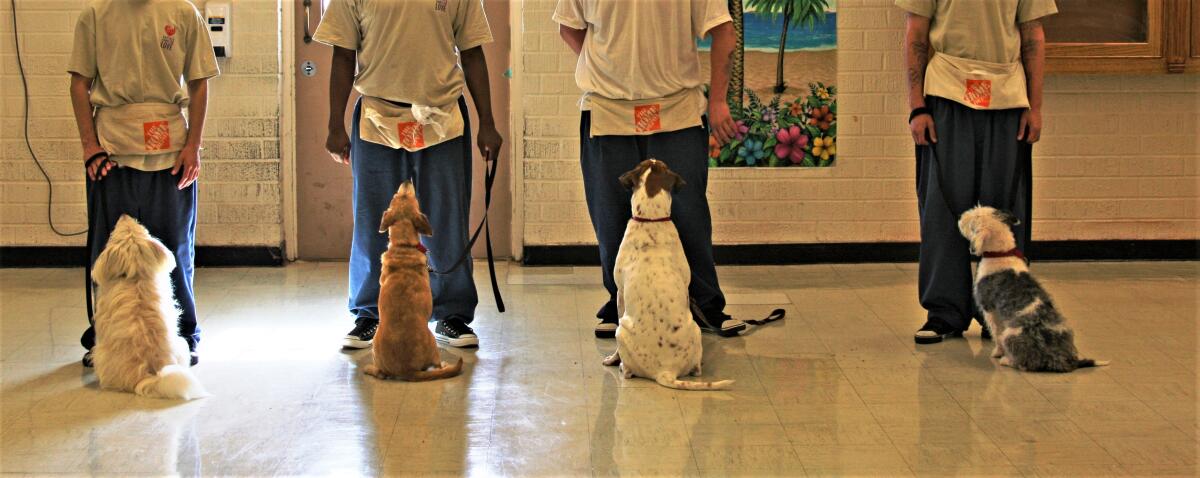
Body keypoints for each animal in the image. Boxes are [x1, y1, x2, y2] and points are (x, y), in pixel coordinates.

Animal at [90, 216, 207, 398]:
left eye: (114, 233)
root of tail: (148, 375)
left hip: (100, 355)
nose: (124, 215)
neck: (134, 277)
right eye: (142, 228)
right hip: (181, 345)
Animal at [362, 181, 460, 381]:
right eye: (396, 195)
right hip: (433, 343)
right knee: (438, 365)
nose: (406, 181)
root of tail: (406, 370)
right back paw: (445, 365)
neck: (403, 246)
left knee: (380, 373)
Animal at [955, 206, 1104, 372]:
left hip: (1011, 334)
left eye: (973, 221)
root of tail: (1064, 359)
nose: (960, 217)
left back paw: (1007, 360)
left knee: (1024, 363)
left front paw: (997, 352)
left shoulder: (990, 310)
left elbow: (996, 332)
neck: (1000, 254)